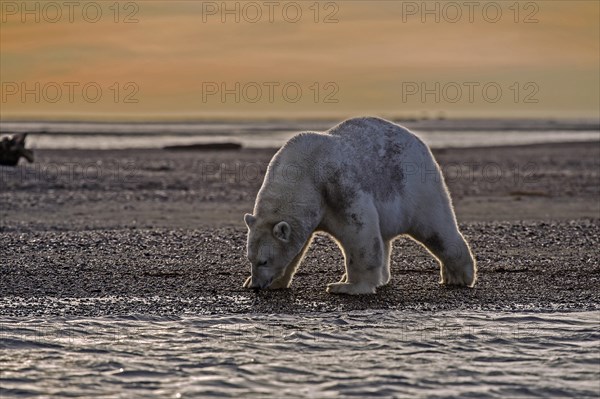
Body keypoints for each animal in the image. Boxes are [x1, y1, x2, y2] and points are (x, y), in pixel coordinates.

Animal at [243, 117, 474, 296]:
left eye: (264, 261)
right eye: (250, 259)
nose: (256, 286)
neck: (303, 171)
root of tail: (420, 144)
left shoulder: (337, 186)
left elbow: (359, 233)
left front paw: (347, 286)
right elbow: (297, 246)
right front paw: (273, 282)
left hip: (417, 188)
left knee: (436, 228)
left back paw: (459, 276)